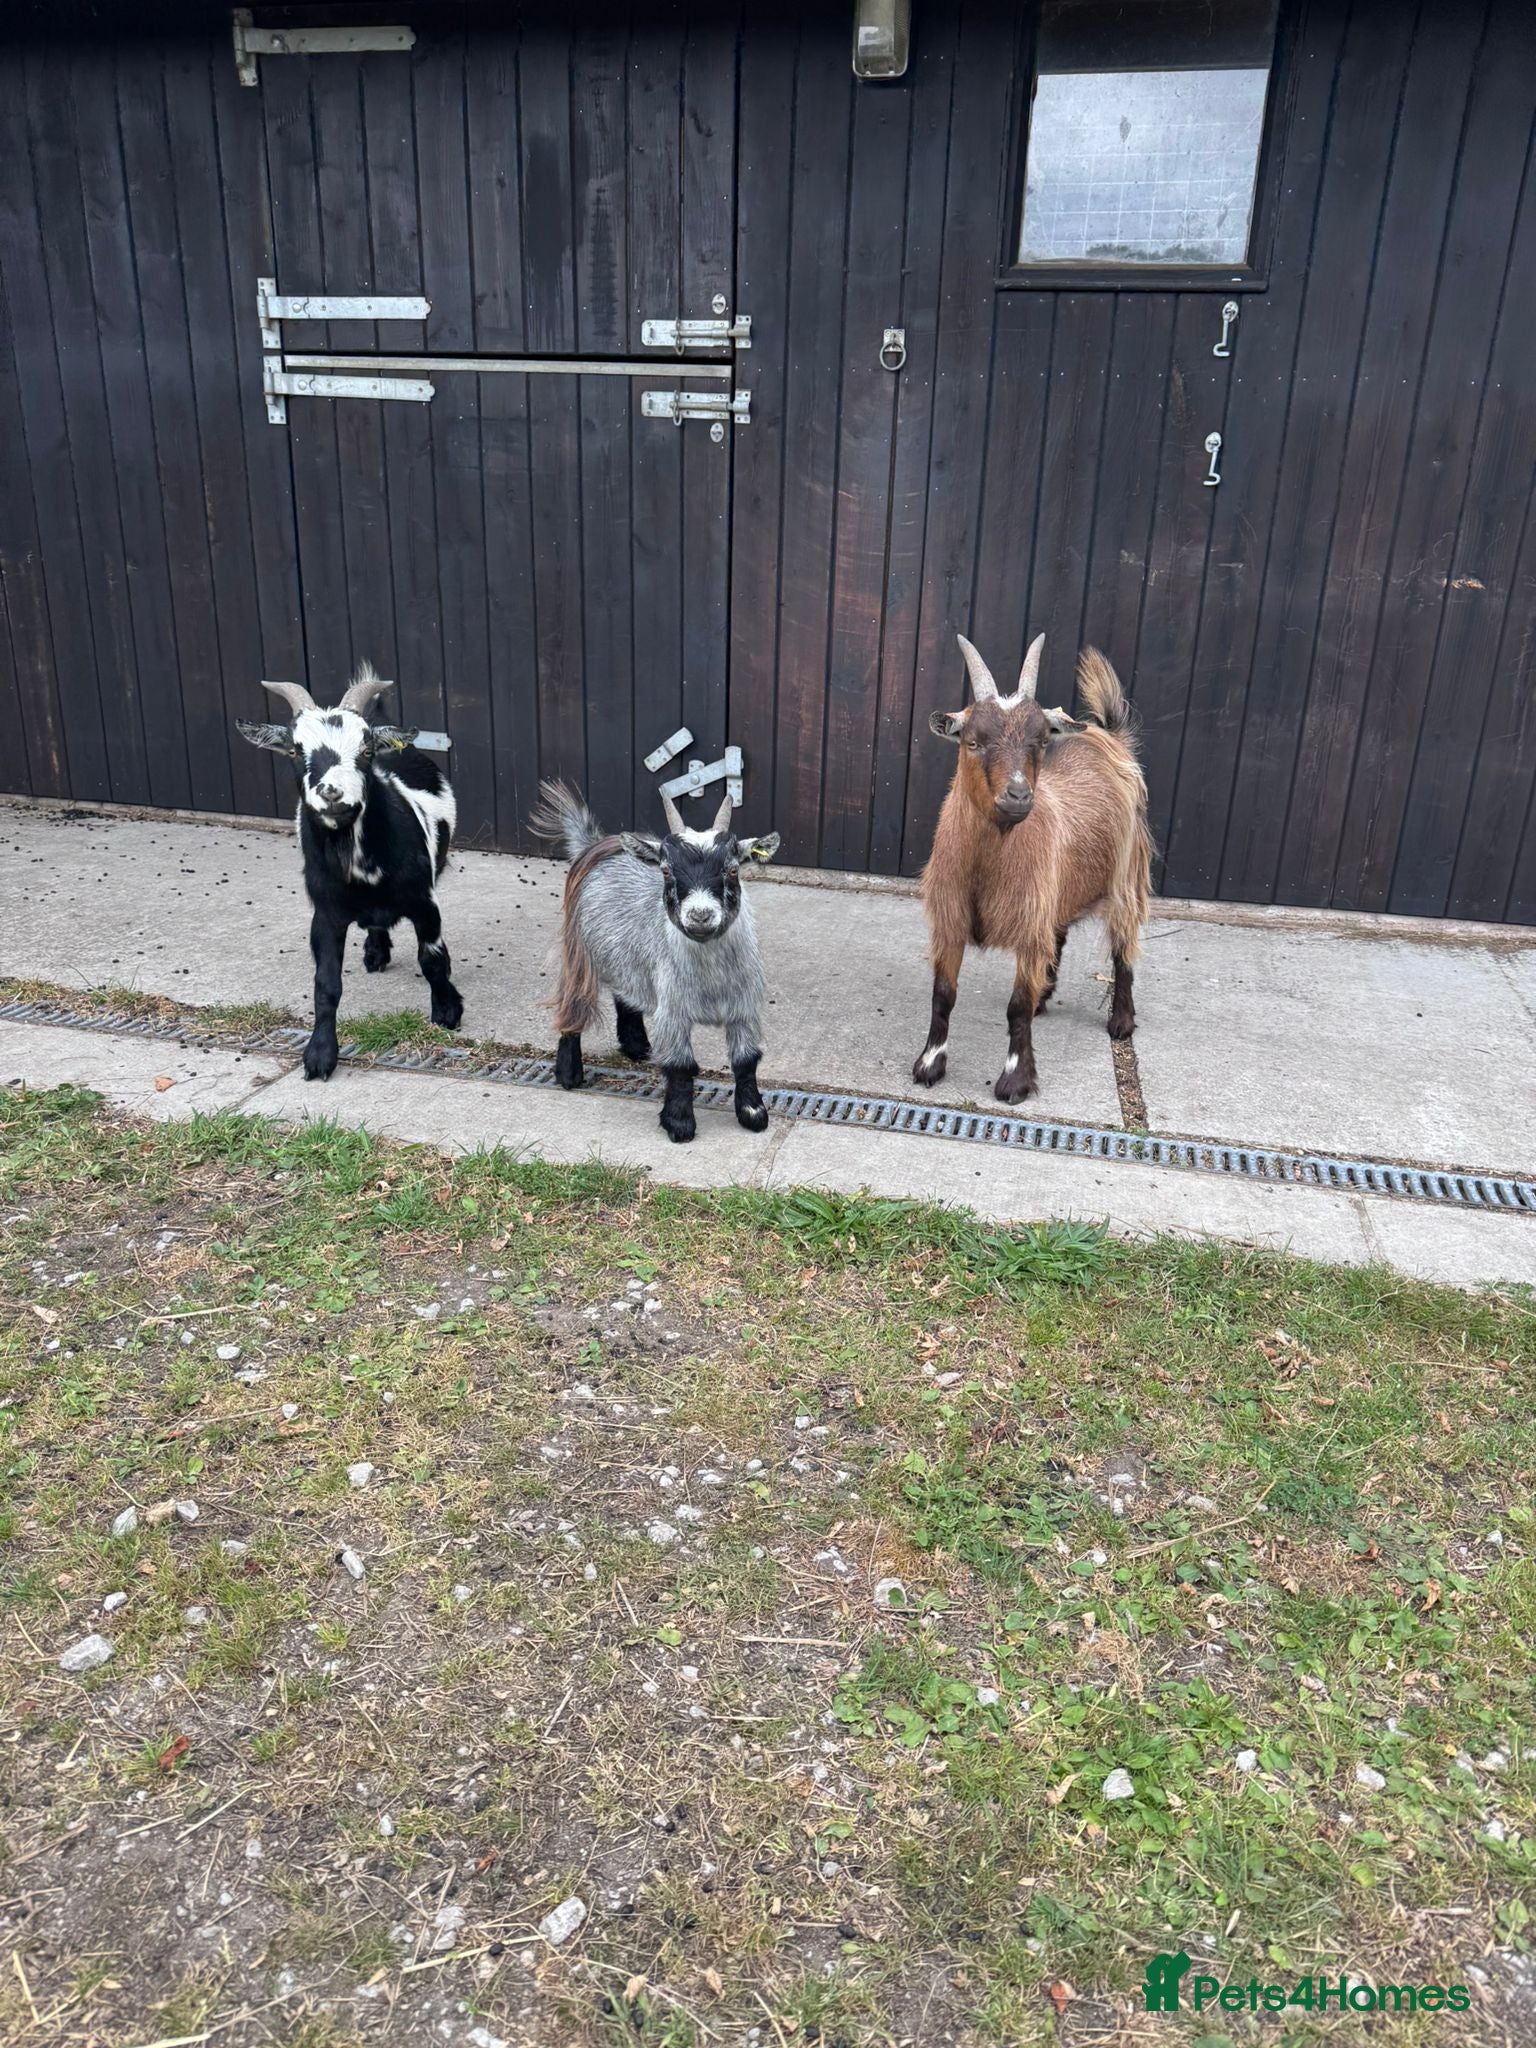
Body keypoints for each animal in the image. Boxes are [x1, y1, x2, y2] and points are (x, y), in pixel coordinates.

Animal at [236, 663, 463, 1081]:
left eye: (366, 750)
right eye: (294, 749)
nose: (332, 794)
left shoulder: (424, 901)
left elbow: (431, 958)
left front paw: (447, 1011)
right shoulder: (326, 913)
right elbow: (326, 984)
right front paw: (320, 1055)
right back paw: (375, 951)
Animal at [530, 780, 780, 1144]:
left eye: (732, 869)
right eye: (666, 870)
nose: (700, 915)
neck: (711, 978)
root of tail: (593, 845)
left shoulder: (743, 1007)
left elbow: (746, 1060)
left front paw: (753, 1114)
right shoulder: (673, 1011)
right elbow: (681, 1066)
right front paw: (679, 1124)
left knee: (625, 990)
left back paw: (635, 1044)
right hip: (577, 951)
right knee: (572, 1004)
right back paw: (569, 1073)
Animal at [912, 632, 1151, 1103]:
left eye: (1040, 741)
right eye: (972, 741)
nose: (1018, 796)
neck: (986, 865)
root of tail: (1108, 737)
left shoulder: (1028, 920)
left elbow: (1016, 1007)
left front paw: (1015, 1080)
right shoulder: (952, 917)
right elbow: (943, 994)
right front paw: (930, 1063)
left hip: (1126, 875)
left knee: (1123, 946)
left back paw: (1121, 1021)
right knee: (1058, 935)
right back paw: (1047, 994)